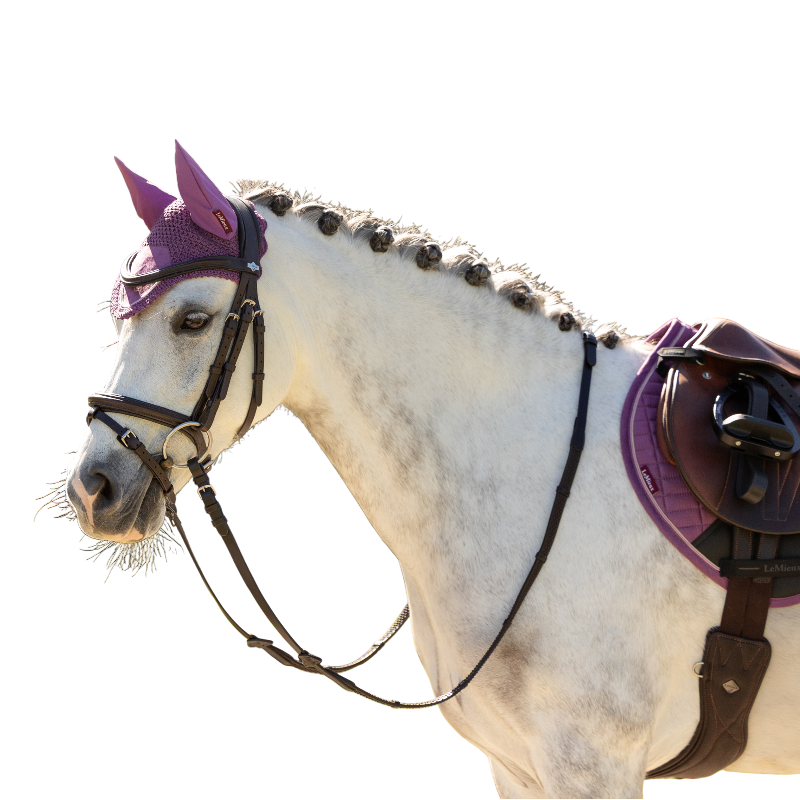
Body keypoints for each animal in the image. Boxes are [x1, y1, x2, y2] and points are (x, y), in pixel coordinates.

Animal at [59, 142, 798, 797]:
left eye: (192, 319)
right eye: (117, 322)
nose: (92, 489)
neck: (542, 477)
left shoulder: (591, 765)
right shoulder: (520, 769)